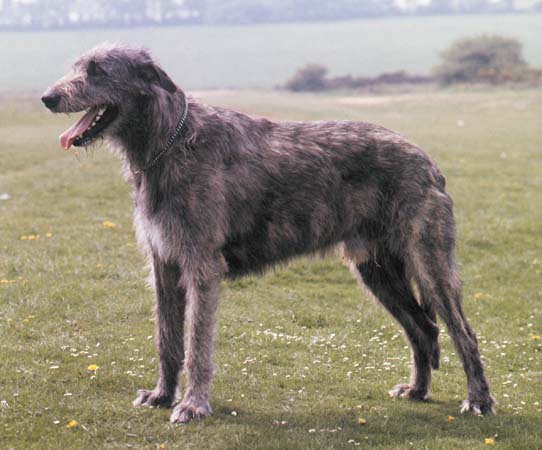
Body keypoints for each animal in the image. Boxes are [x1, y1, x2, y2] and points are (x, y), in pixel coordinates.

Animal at [41, 44, 498, 424]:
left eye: (98, 71)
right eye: (77, 66)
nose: (48, 98)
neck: (168, 142)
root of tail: (427, 160)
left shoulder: (202, 264)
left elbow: (197, 343)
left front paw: (192, 404)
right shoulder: (164, 262)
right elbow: (167, 340)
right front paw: (161, 395)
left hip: (427, 259)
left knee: (463, 332)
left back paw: (478, 400)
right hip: (376, 270)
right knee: (423, 328)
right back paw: (418, 389)